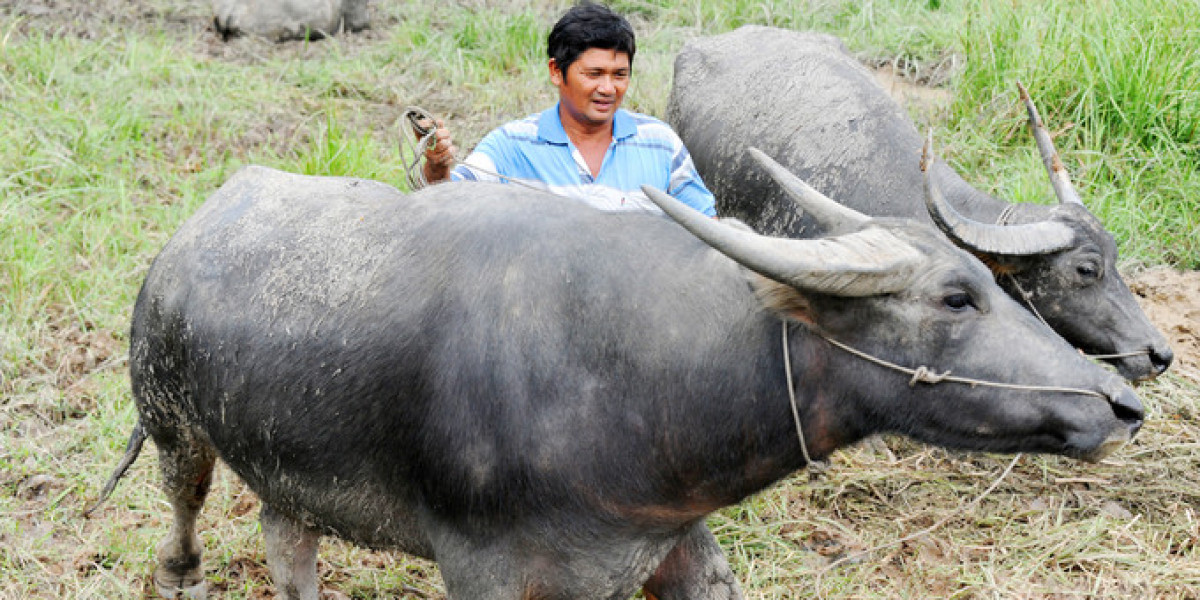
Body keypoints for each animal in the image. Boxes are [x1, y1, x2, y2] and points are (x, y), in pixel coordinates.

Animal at [96, 159, 1142, 600]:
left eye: (1002, 286)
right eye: (958, 297)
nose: (1123, 403)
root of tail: (191, 233)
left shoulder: (671, 544)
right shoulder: (488, 574)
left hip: (289, 462)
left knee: (288, 542)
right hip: (174, 420)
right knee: (185, 516)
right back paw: (181, 575)